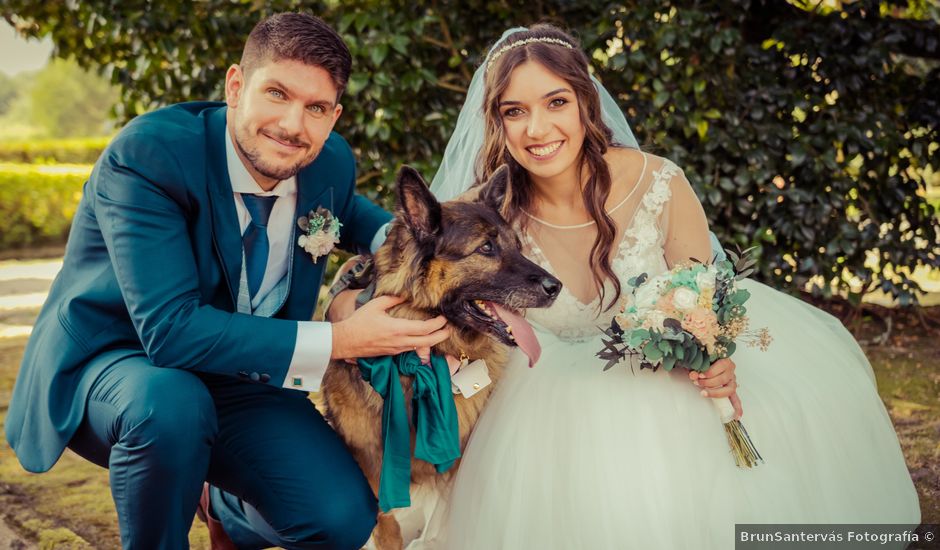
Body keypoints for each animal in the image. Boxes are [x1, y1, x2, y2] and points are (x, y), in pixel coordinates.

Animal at [320, 168, 560, 550]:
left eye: (516, 246)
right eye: (486, 248)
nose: (557, 287)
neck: (429, 356)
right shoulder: (373, 474)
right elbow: (388, 528)